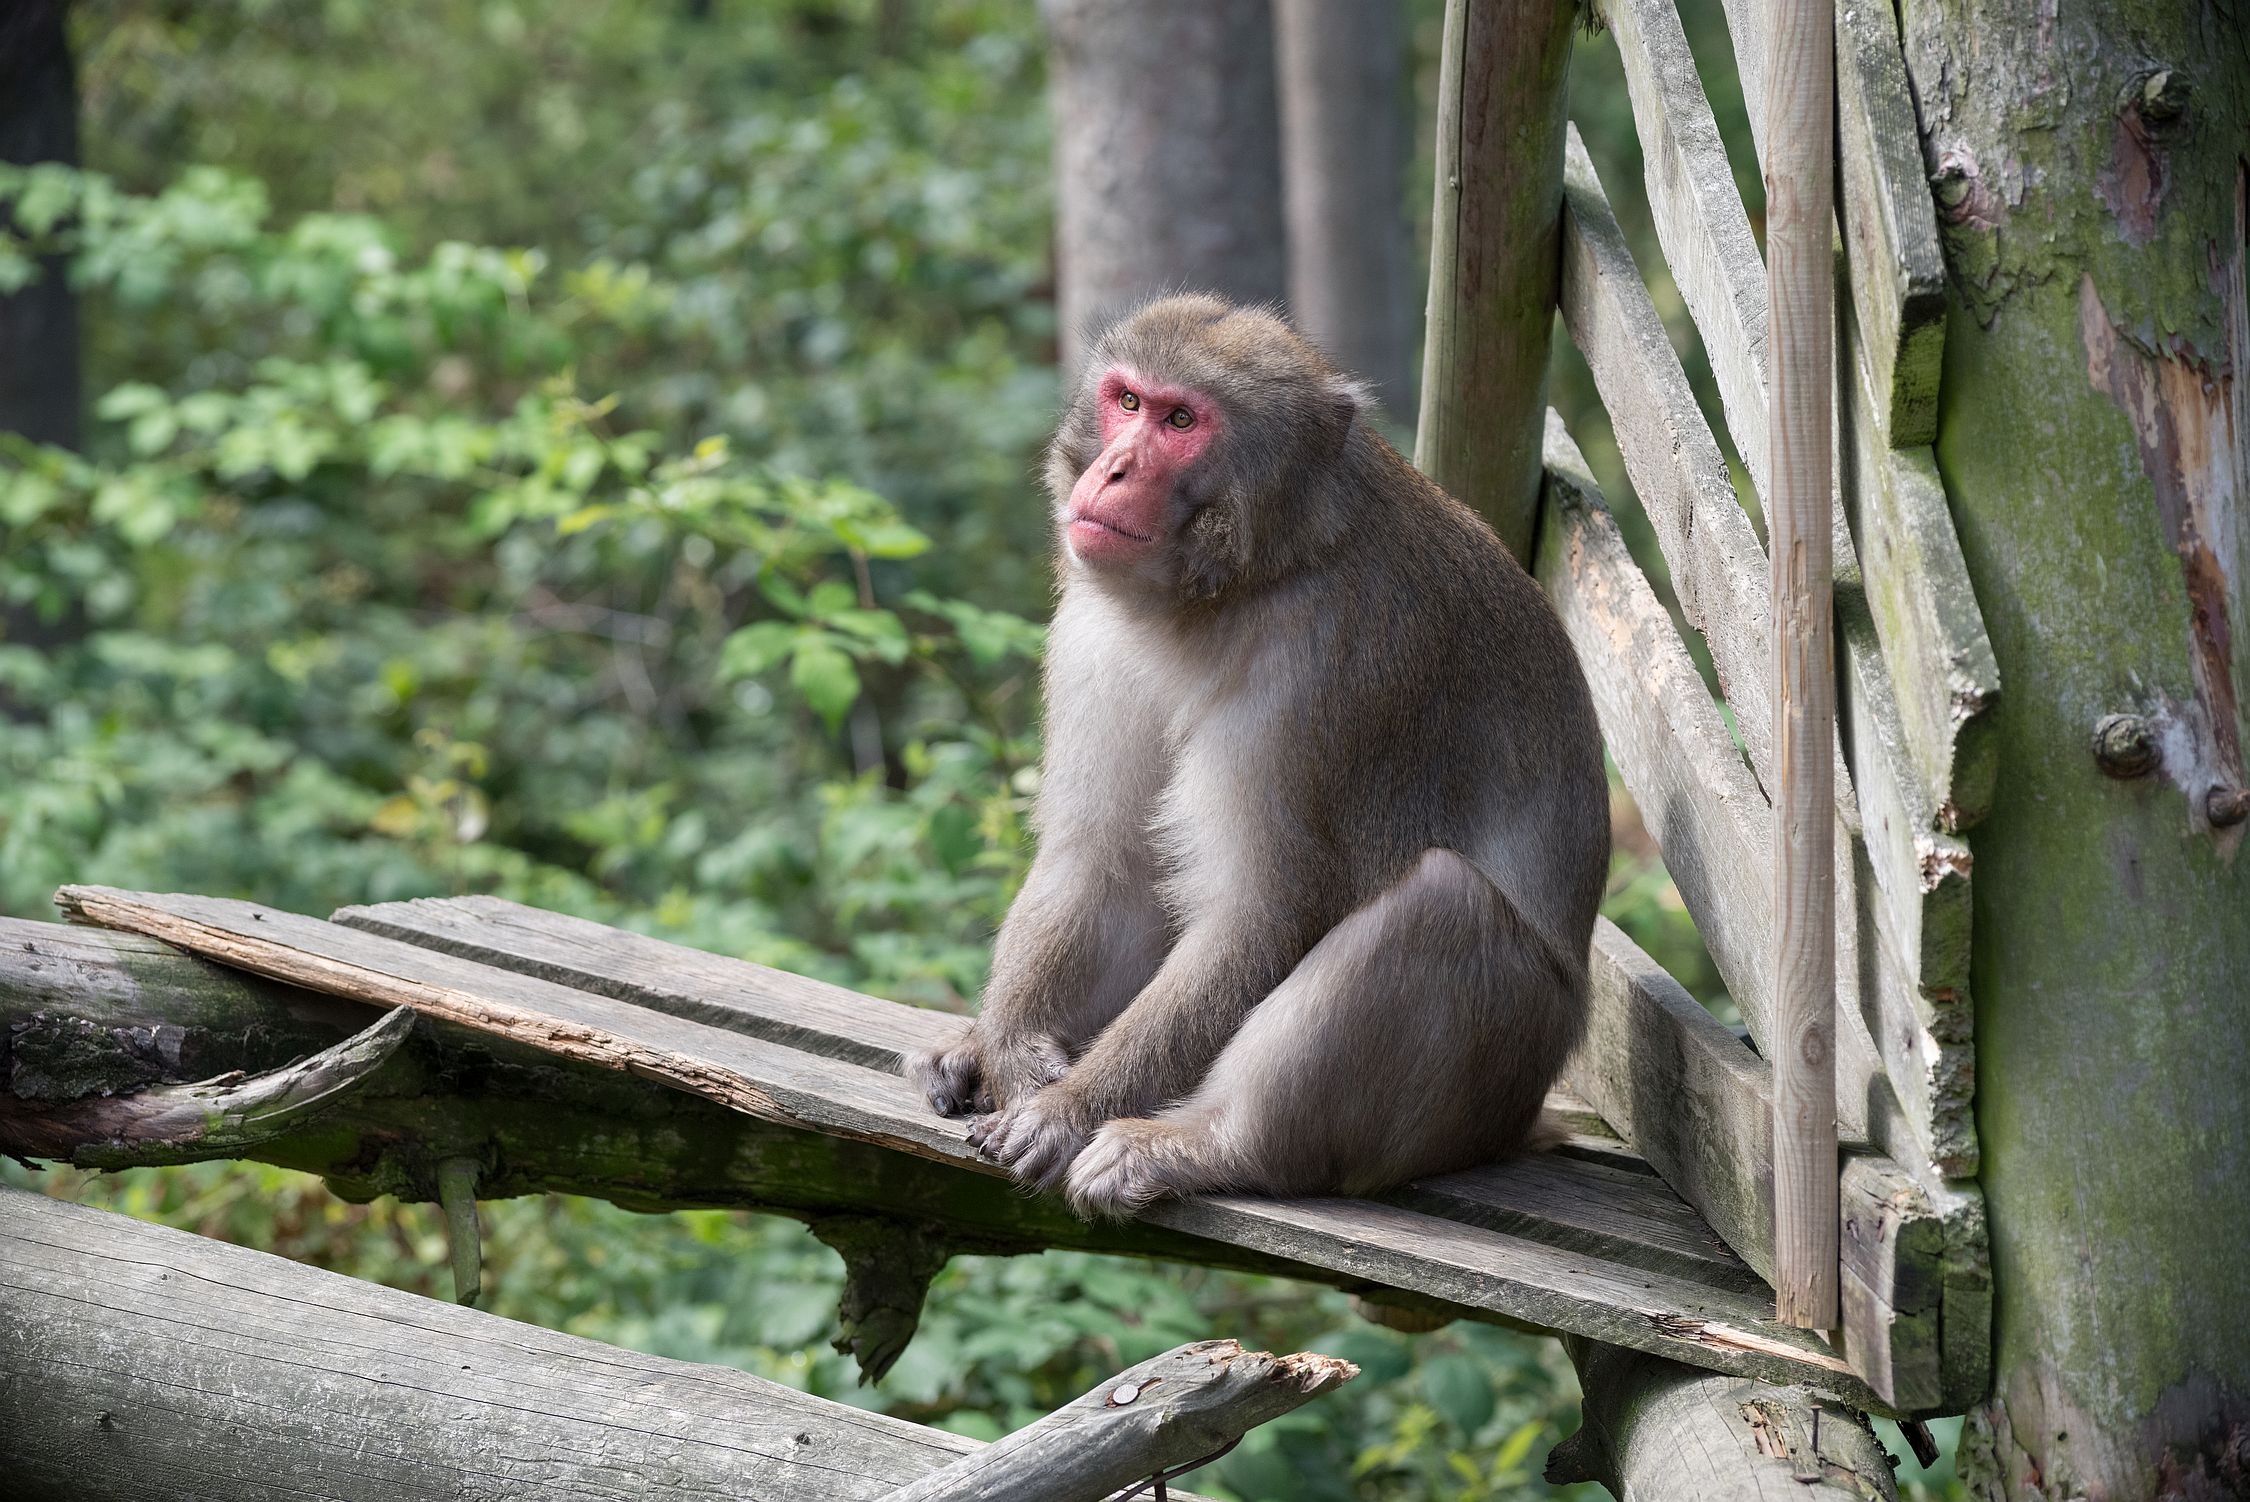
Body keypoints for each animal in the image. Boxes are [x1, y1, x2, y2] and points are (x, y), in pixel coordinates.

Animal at [904, 292, 1611, 1223]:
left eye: (1181, 422)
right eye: (1126, 401)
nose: (1114, 471)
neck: (1240, 581)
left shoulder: (1324, 671)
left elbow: (1260, 916)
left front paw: (1069, 1107)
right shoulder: (1095, 627)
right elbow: (1101, 862)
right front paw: (1014, 1050)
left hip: (1490, 1082)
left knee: (1444, 902)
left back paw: (1211, 1143)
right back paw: (970, 1049)